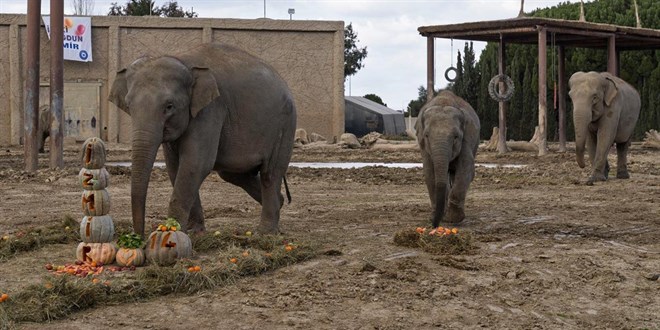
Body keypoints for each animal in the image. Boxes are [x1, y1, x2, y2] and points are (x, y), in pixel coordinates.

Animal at [109, 43, 296, 237]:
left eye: (169, 106)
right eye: (128, 105)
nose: (139, 237)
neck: (182, 60)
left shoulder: (211, 110)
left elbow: (195, 163)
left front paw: (173, 231)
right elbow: (175, 167)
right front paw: (194, 231)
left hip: (285, 125)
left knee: (270, 173)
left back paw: (265, 232)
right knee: (232, 174)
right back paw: (281, 202)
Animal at [412, 89, 480, 227]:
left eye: (456, 137)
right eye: (426, 135)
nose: (434, 225)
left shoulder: (467, 138)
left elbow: (466, 167)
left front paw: (453, 219)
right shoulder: (424, 147)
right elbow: (429, 171)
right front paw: (436, 216)